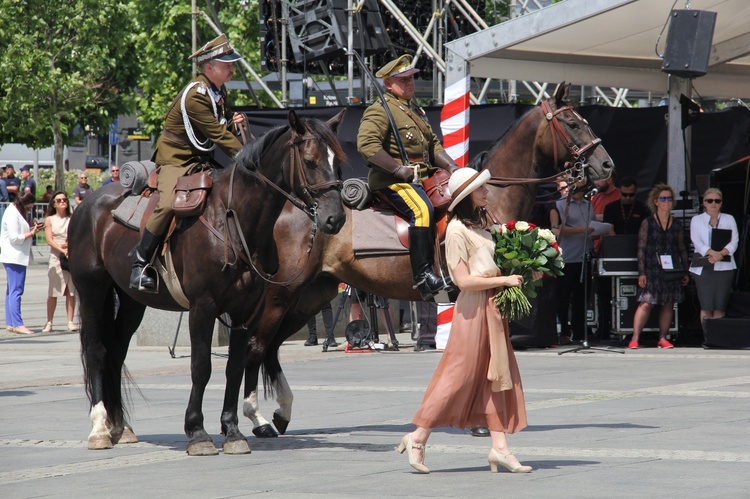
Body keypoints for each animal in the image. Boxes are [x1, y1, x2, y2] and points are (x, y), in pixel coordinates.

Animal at [67, 109, 350, 458]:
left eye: (338, 162)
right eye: (310, 161)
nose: (335, 219)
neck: (234, 218)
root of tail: (88, 203)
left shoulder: (244, 311)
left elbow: (234, 368)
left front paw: (232, 430)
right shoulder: (202, 307)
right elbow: (201, 366)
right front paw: (198, 432)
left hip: (132, 300)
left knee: (116, 352)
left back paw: (122, 426)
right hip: (92, 292)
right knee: (96, 350)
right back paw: (99, 428)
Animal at [241, 83, 616, 438]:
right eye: (572, 123)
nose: (607, 165)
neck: (487, 198)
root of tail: (291, 205)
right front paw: (482, 420)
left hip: (310, 296)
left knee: (271, 346)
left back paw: (280, 414)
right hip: (284, 292)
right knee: (257, 344)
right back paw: (256, 417)